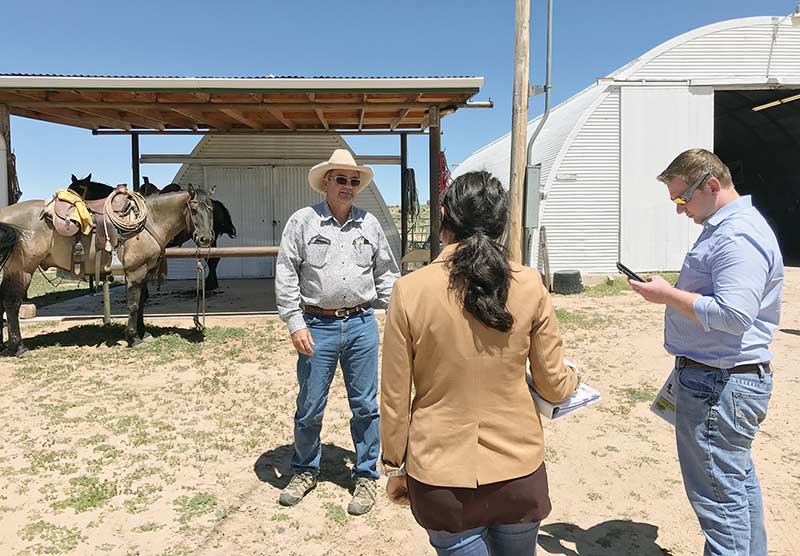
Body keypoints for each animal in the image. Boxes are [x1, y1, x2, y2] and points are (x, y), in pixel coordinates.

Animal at [0, 182, 216, 356]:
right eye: (193, 209)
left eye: (212, 209)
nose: (205, 239)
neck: (150, 221)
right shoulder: (136, 271)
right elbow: (134, 305)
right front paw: (133, 337)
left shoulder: (143, 272)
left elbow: (141, 304)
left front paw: (142, 333)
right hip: (22, 270)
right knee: (11, 303)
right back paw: (19, 347)